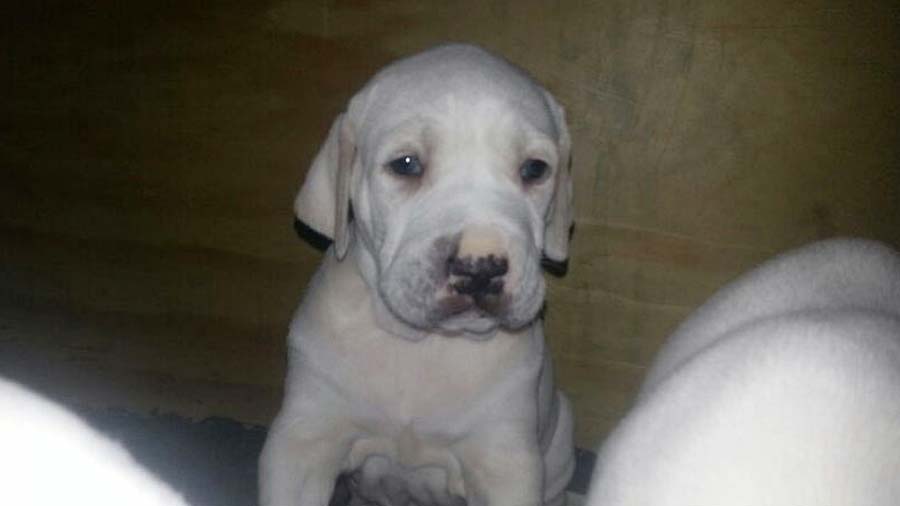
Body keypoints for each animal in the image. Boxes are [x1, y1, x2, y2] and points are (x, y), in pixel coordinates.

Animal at [258, 44, 576, 506]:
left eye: (535, 169)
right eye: (406, 165)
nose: (479, 268)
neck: (421, 347)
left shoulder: (505, 463)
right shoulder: (302, 442)